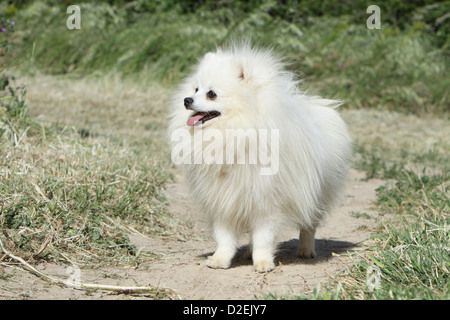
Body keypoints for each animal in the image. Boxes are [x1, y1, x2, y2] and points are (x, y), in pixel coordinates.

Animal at [168, 43, 352, 272]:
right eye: (195, 90)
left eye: (211, 94)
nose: (187, 100)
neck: (235, 132)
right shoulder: (223, 198)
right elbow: (224, 237)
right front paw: (220, 260)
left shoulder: (268, 201)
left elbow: (264, 237)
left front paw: (263, 262)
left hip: (317, 194)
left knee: (309, 225)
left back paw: (306, 250)